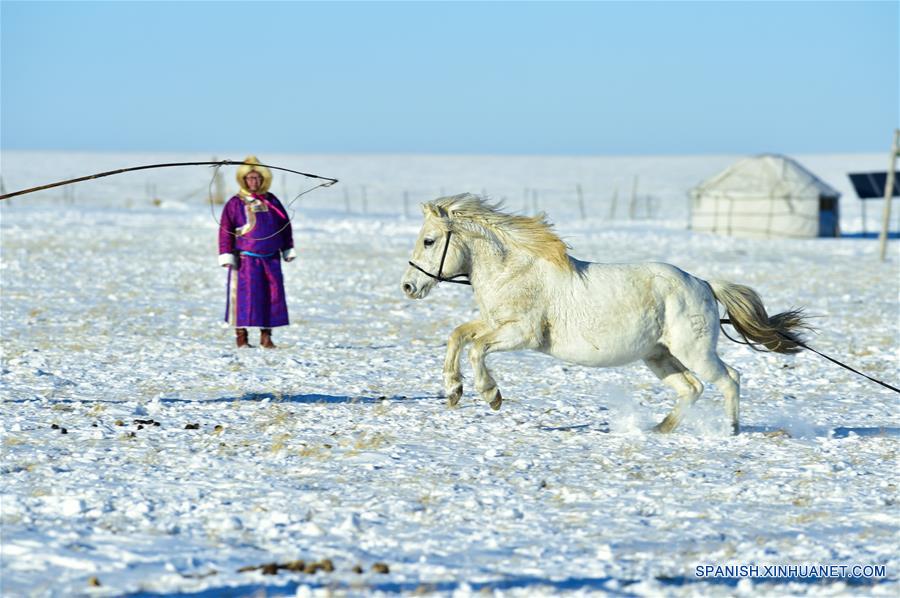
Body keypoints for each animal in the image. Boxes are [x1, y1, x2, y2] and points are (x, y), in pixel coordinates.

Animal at [400, 197, 808, 436]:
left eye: (429, 241)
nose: (408, 286)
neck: (515, 271)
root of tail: (704, 284)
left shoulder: (521, 334)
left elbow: (477, 348)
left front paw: (491, 394)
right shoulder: (494, 324)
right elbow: (458, 335)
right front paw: (453, 391)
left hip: (694, 352)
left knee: (729, 379)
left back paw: (730, 430)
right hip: (659, 356)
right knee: (691, 388)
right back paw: (660, 429)